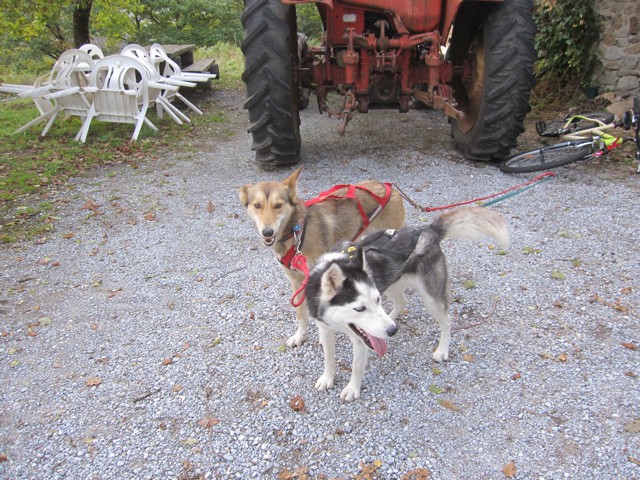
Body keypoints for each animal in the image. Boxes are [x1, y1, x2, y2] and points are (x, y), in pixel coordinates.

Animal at [240, 169, 404, 348]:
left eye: (278, 205)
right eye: (257, 205)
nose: (267, 232)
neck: (297, 233)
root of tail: (389, 187)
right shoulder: (296, 282)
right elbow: (301, 315)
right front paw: (300, 336)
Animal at [304, 207, 510, 402]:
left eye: (376, 301)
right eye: (359, 308)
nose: (392, 331)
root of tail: (427, 229)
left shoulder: (361, 338)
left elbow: (356, 367)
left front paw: (352, 388)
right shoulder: (326, 328)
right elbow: (329, 358)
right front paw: (327, 378)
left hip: (430, 298)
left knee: (447, 322)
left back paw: (441, 350)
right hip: (391, 285)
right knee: (403, 301)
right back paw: (393, 319)